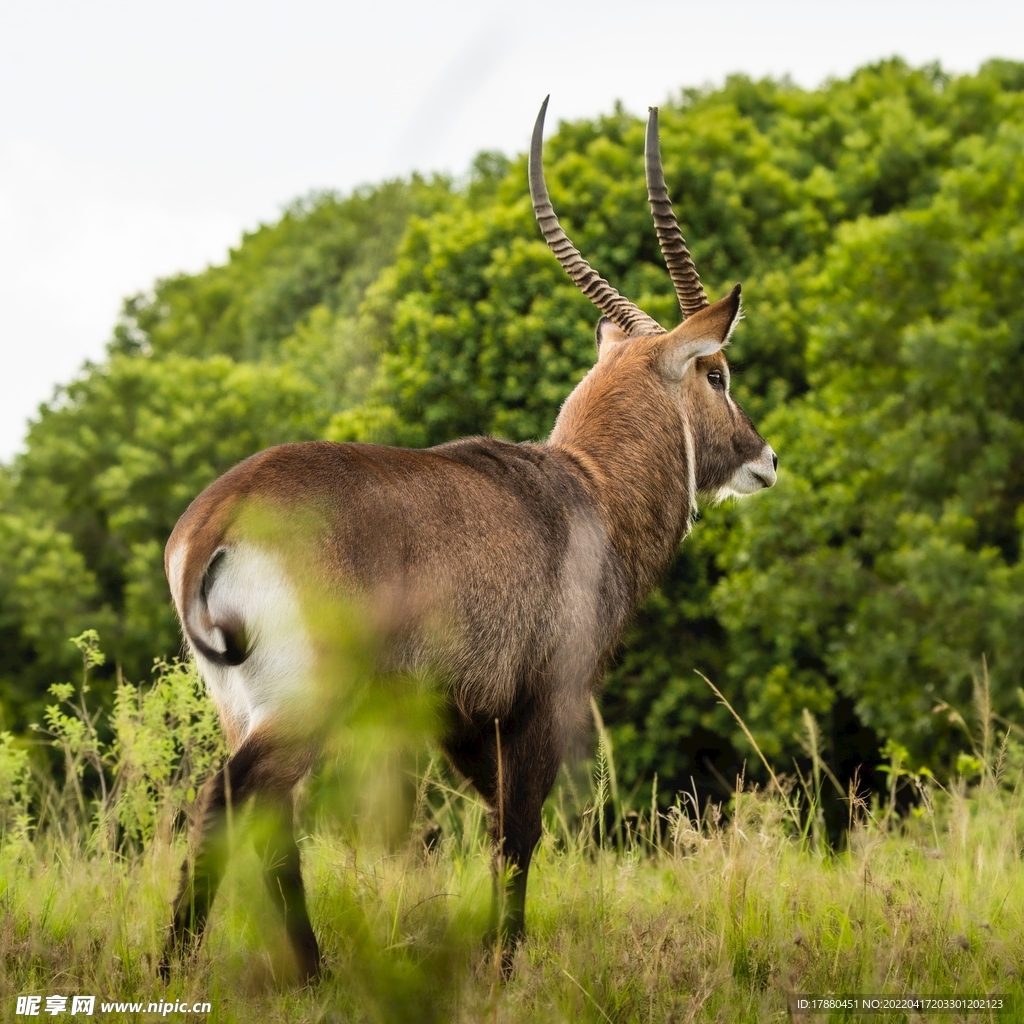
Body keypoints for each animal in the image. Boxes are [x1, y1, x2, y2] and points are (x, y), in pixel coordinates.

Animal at [157, 97, 774, 983]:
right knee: (233, 800)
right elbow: (520, 832)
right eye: (718, 372)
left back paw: (307, 972)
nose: (765, 458)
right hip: (304, 703)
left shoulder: (459, 718)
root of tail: (221, 517)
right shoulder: (546, 700)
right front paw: (505, 964)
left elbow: (495, 822)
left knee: (264, 817)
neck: (588, 486)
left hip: (243, 707)